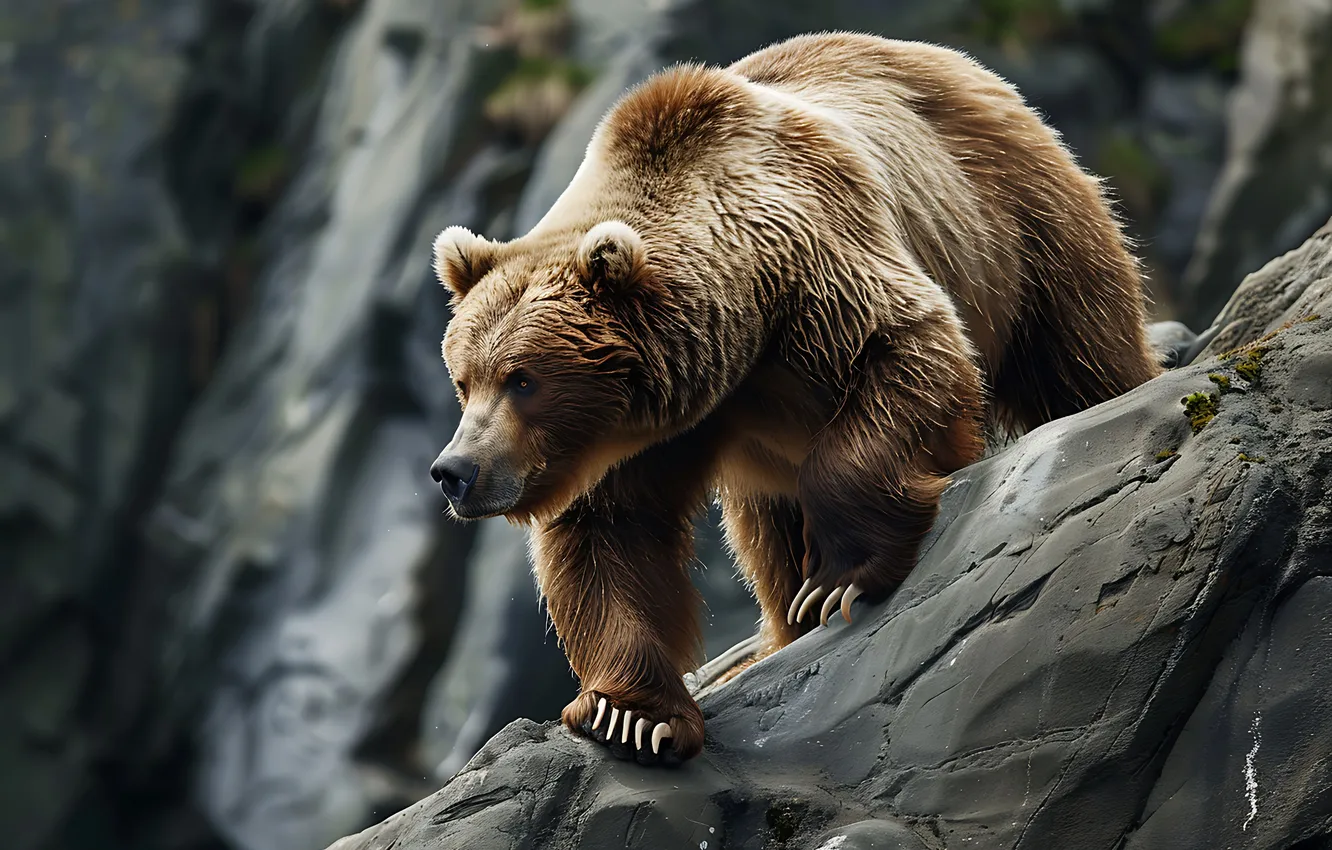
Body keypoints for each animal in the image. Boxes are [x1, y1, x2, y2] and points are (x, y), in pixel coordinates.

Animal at [428, 31, 1163, 765]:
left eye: (523, 379)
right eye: (464, 380)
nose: (454, 471)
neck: (736, 339)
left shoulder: (818, 274)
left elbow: (905, 351)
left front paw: (840, 580)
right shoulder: (638, 437)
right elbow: (610, 536)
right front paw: (631, 715)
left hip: (1014, 223)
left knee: (1076, 352)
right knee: (764, 535)